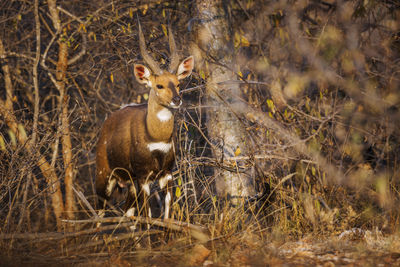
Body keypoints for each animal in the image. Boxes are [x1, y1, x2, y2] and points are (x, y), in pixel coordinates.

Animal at [94, 24, 193, 223]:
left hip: (129, 183)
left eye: (178, 83)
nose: (177, 100)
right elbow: (147, 218)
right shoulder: (143, 176)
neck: (155, 139)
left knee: (128, 214)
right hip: (104, 176)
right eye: (159, 85)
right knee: (98, 215)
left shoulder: (167, 174)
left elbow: (166, 217)